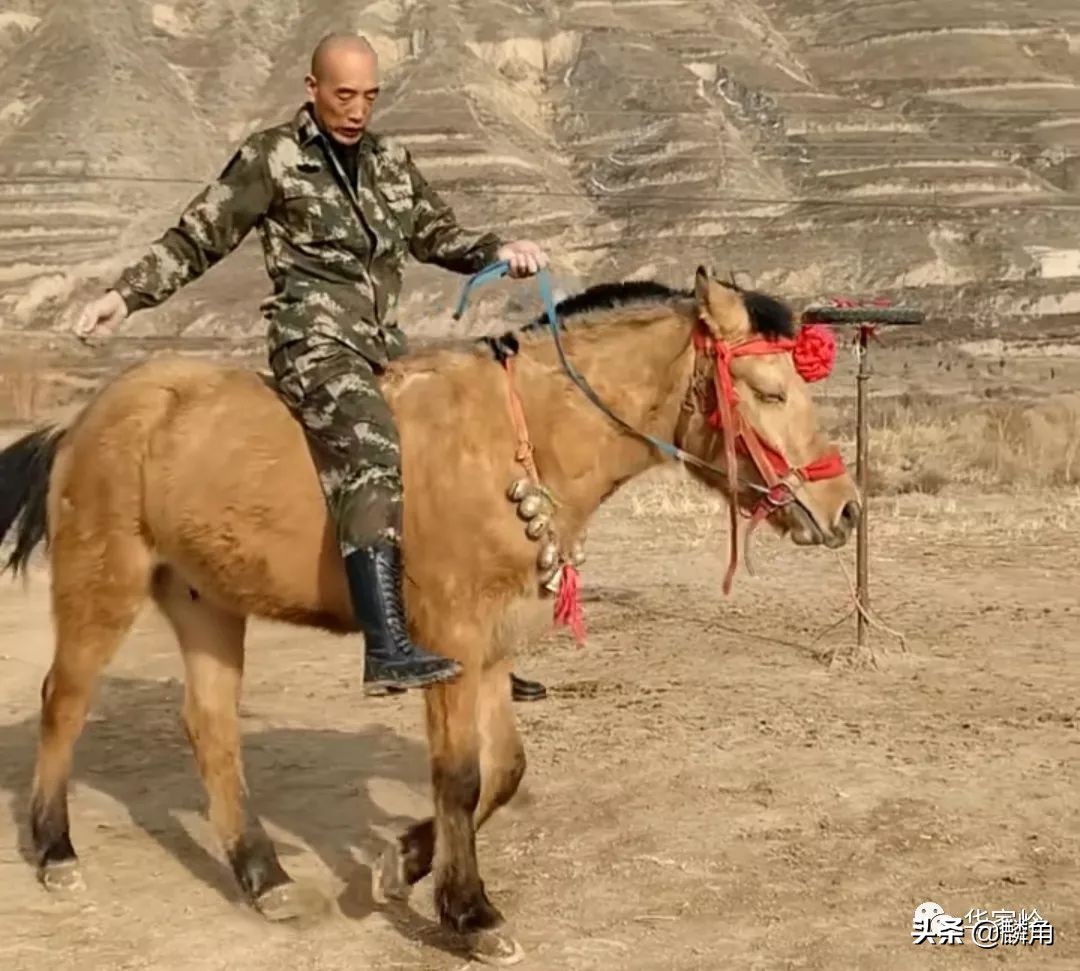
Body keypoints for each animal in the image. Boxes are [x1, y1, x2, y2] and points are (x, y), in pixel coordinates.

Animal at [2, 265, 859, 963]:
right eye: (771, 392)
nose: (844, 508)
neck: (516, 438)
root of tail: (87, 419)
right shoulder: (449, 639)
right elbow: (459, 775)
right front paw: (470, 912)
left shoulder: (493, 646)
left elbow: (505, 770)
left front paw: (401, 865)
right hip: (103, 585)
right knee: (63, 702)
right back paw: (55, 851)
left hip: (205, 602)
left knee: (209, 728)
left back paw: (264, 876)